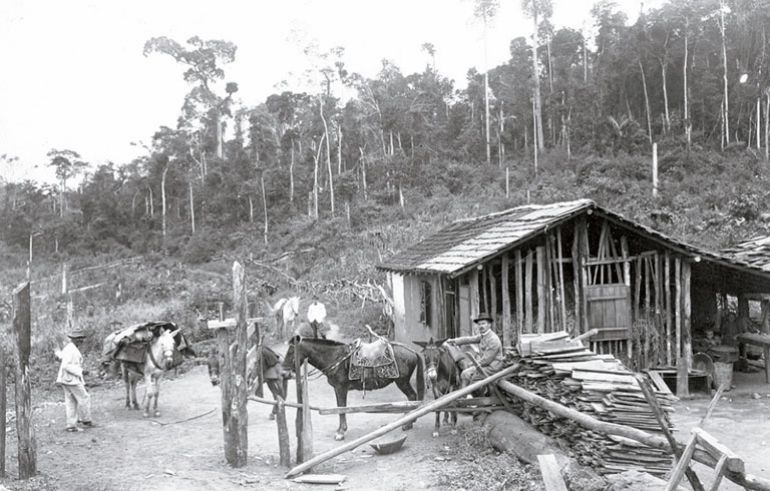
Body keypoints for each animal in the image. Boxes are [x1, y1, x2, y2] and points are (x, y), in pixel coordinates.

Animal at [284, 336, 424, 440]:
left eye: (291, 351)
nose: (285, 373)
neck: (335, 357)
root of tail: (412, 351)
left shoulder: (341, 388)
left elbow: (341, 408)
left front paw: (341, 432)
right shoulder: (337, 389)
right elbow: (339, 408)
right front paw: (340, 430)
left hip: (402, 382)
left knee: (412, 396)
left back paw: (408, 422)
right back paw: (409, 420)